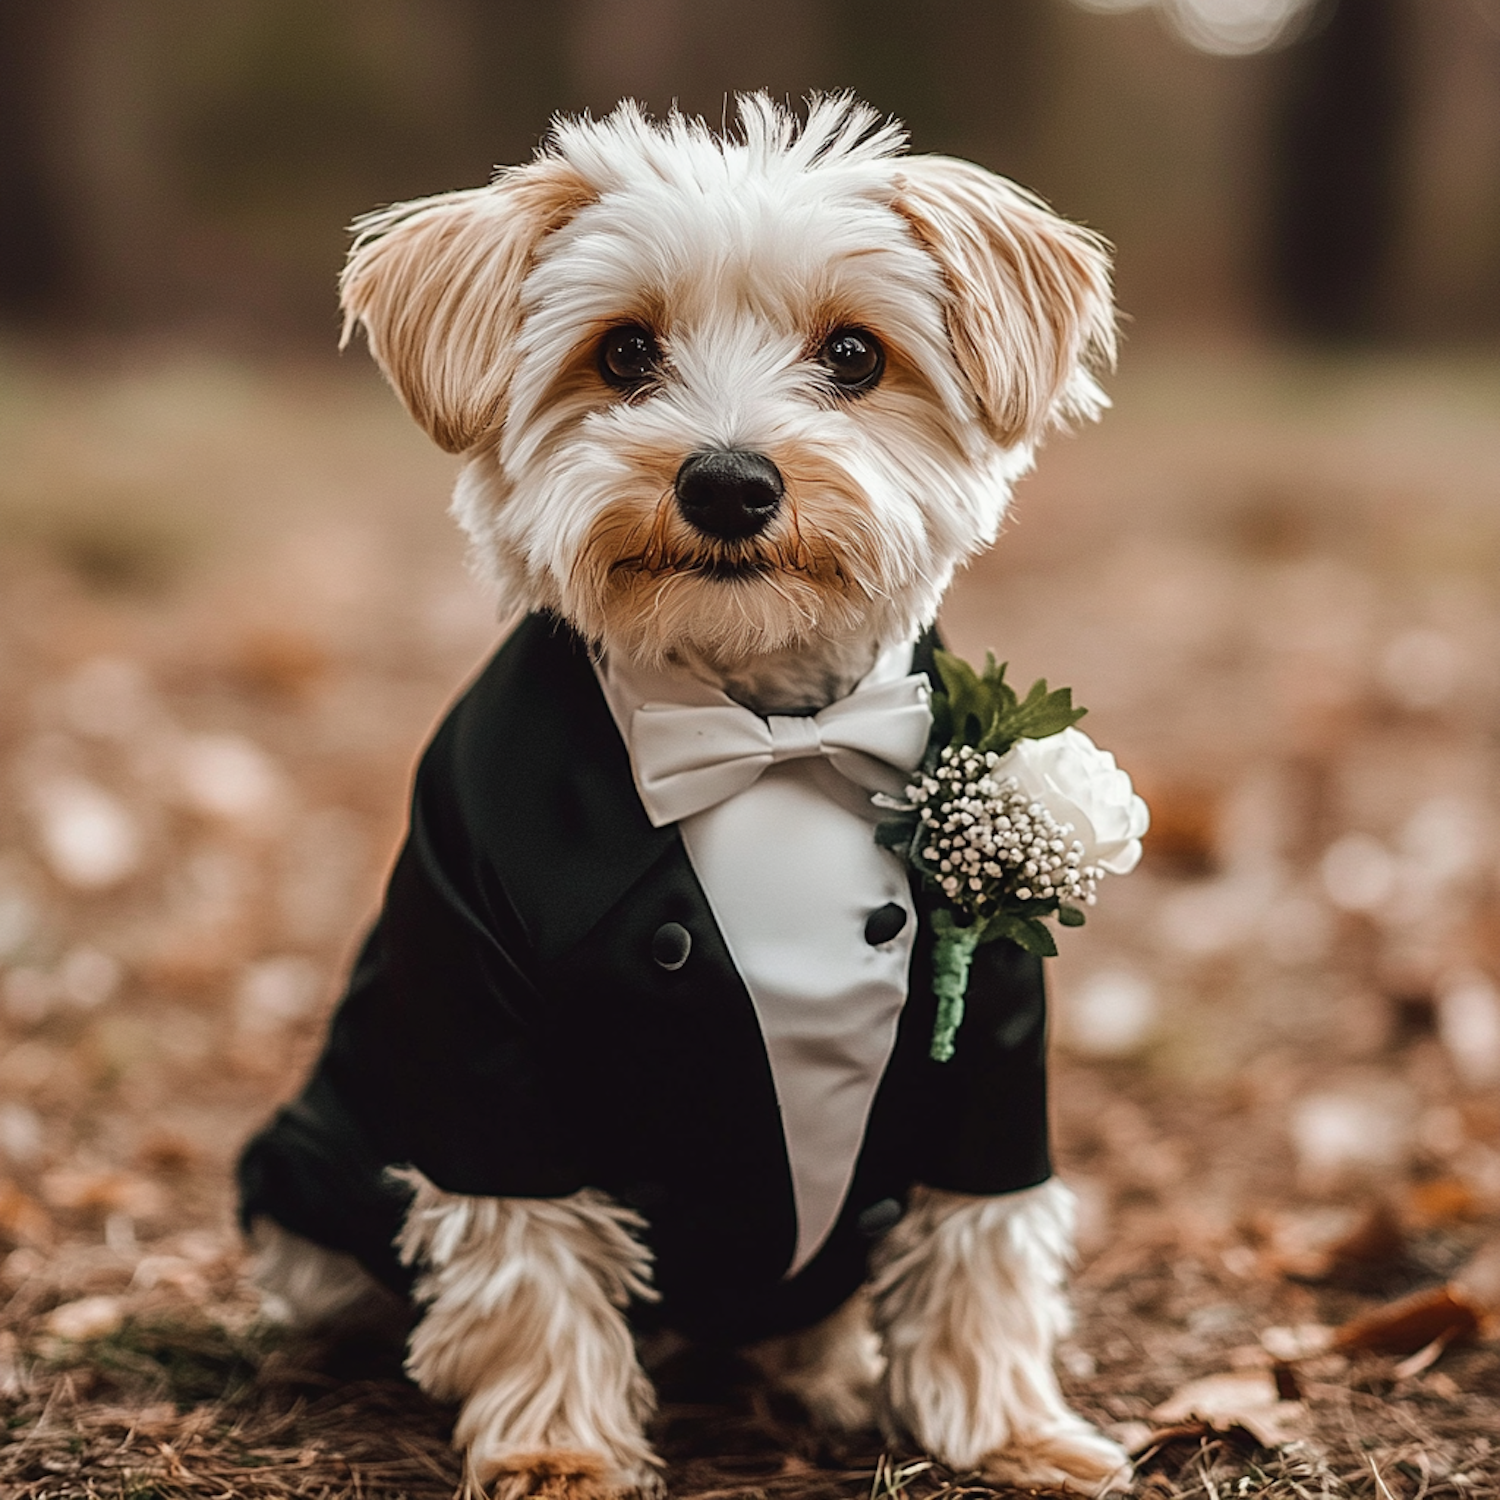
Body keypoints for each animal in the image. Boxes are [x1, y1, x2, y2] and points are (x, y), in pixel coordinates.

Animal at [237, 96, 1128, 1500]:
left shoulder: (993, 1038)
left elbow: (976, 1242)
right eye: (623, 353)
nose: (728, 482)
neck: (763, 731)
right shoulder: (487, 1045)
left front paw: (1009, 1429)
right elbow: (528, 1258)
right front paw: (555, 1445)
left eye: (855, 354)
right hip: (311, 1177)